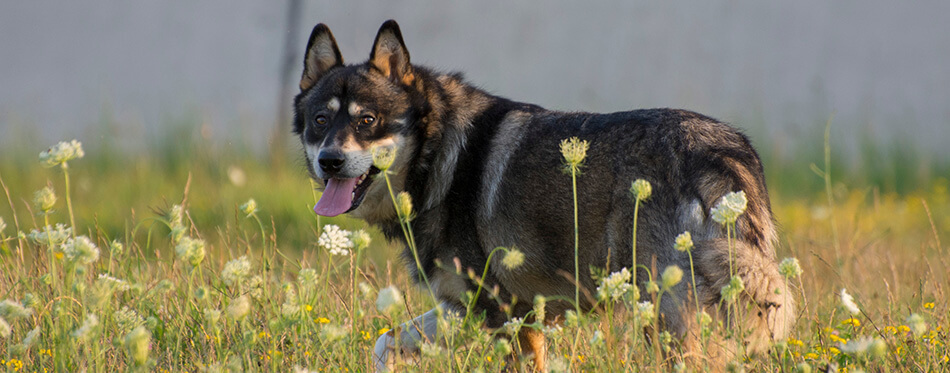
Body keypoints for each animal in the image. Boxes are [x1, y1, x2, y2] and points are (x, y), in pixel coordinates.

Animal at [292, 19, 796, 370]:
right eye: (320, 120)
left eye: (367, 121)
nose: (330, 161)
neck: (438, 156)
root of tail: (725, 151)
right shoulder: (476, 309)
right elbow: (384, 344)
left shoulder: (504, 314)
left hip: (669, 320)